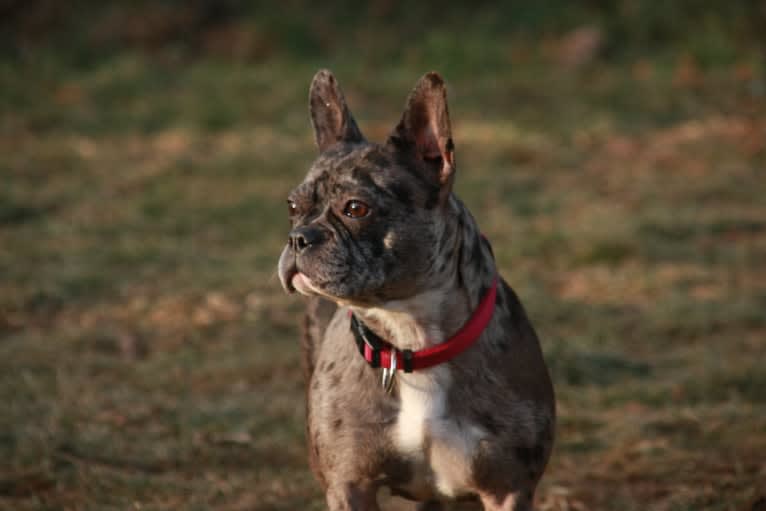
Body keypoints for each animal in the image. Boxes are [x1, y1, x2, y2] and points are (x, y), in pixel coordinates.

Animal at [280, 69, 556, 511]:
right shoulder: (349, 486)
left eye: (356, 209)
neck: (412, 338)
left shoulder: (508, 488)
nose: (298, 238)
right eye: (292, 207)